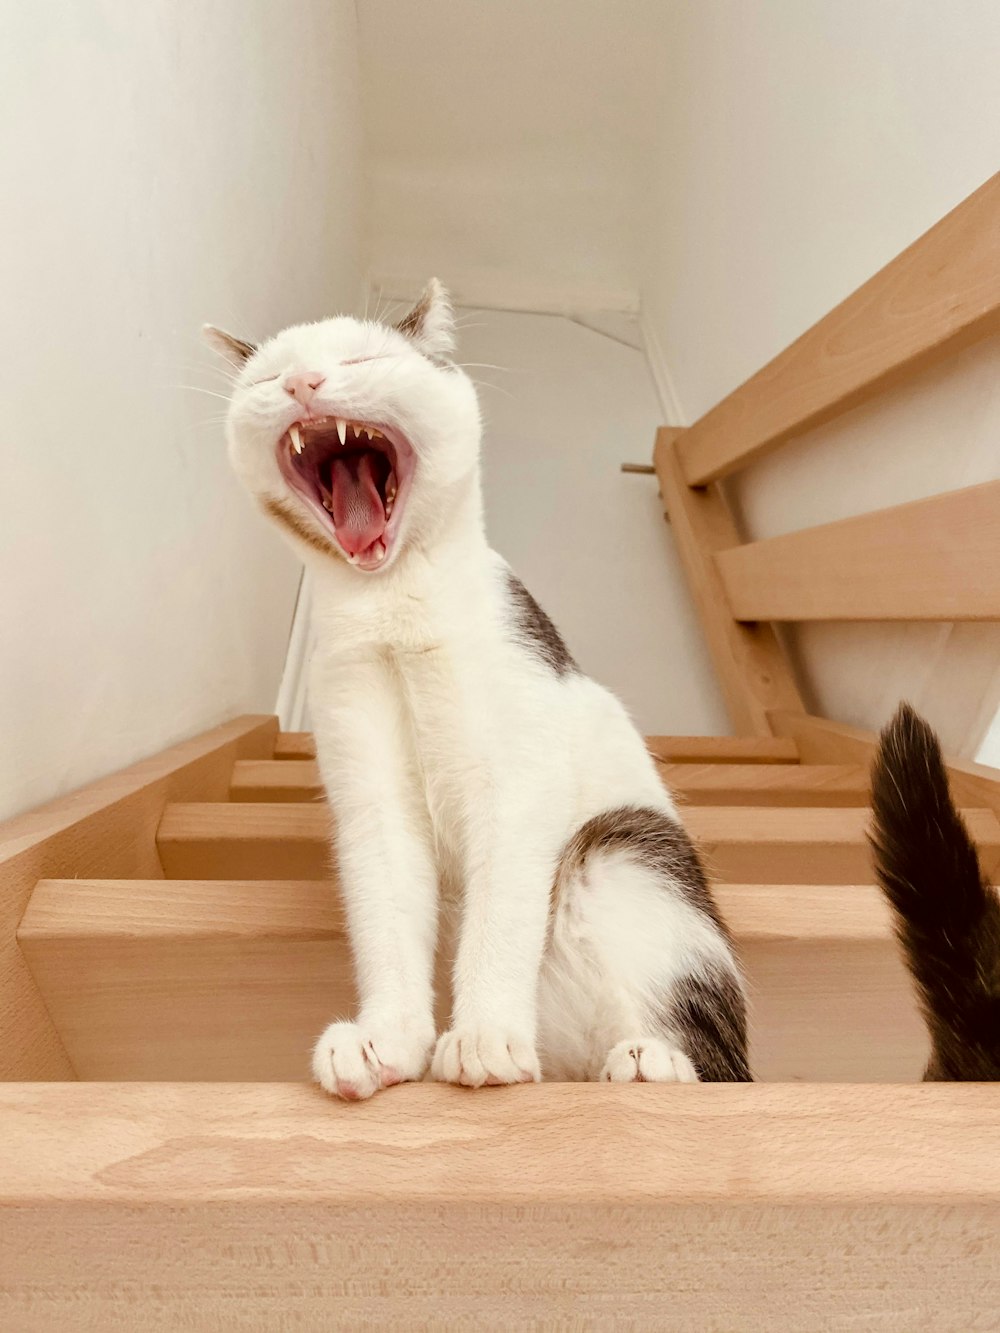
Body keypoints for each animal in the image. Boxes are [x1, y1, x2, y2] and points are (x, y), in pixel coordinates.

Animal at [205, 278, 752, 1093]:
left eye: (361, 358)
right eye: (266, 379)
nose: (303, 383)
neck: (394, 607)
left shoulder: (518, 768)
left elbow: (500, 915)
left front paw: (486, 1035)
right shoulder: (369, 791)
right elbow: (386, 914)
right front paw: (387, 1039)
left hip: (625, 847)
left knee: (719, 1061)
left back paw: (653, 1060)